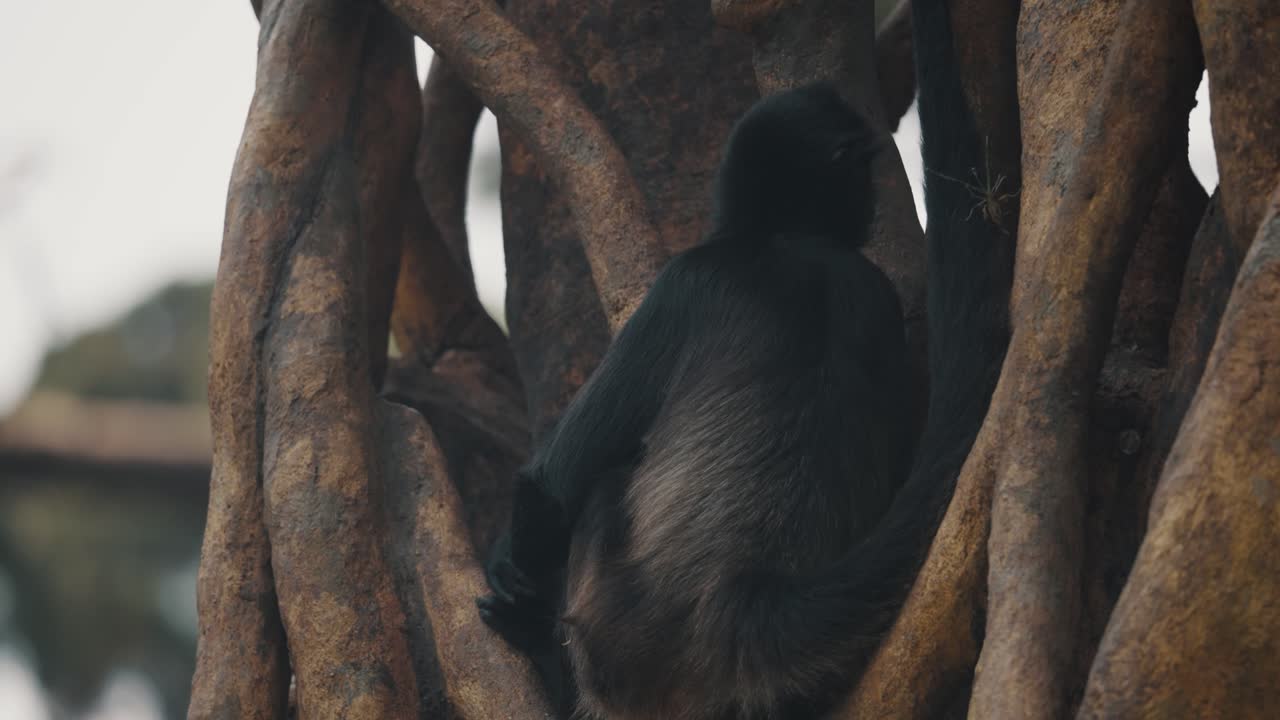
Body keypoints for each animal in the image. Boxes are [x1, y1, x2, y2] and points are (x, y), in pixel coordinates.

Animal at [477, 0, 1014, 713]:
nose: (869, 197)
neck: (783, 239)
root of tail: (754, 598)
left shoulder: (689, 281)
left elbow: (550, 485)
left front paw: (514, 577)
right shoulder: (869, 285)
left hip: (618, 640)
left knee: (601, 488)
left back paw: (543, 648)